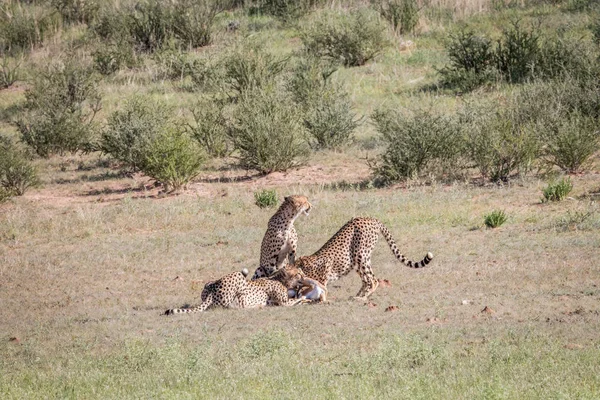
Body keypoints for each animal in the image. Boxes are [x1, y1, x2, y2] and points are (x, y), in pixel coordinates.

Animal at [290, 217, 432, 298]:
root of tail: (371, 218)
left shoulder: (321, 279)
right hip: (358, 260)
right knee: (366, 280)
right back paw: (358, 295)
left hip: (361, 256)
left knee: (373, 280)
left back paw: (362, 298)